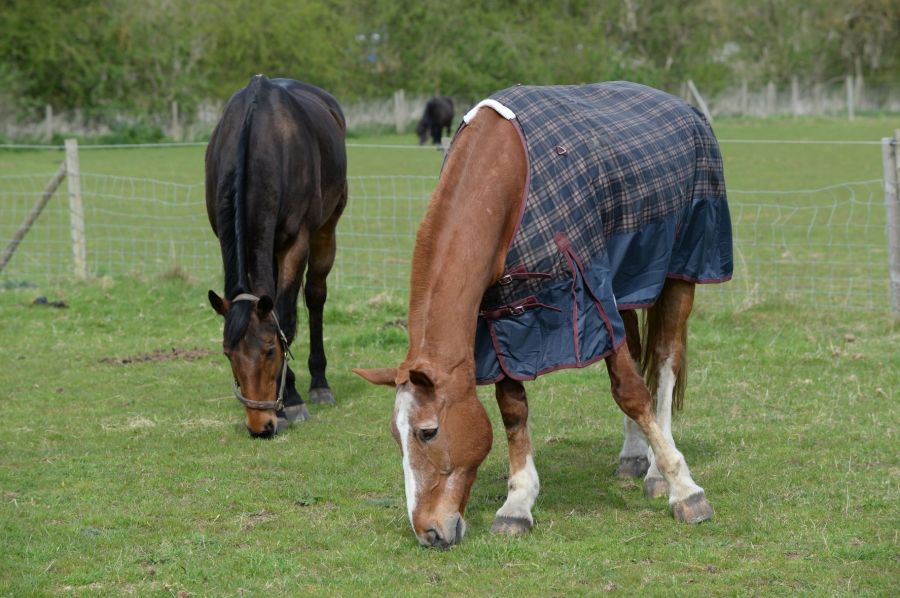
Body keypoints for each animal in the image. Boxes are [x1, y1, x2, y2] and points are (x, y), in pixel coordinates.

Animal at [206, 74, 347, 438]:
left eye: (271, 351)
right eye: (227, 354)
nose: (261, 426)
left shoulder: (296, 243)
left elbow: (284, 317)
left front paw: (293, 401)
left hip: (327, 227)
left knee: (315, 296)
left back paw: (319, 383)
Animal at [355, 82, 733, 547]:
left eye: (428, 432)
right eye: (396, 437)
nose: (429, 532)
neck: (508, 176)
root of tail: (688, 111)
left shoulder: (589, 293)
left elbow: (631, 390)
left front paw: (685, 489)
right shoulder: (502, 321)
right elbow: (512, 409)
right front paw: (517, 504)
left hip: (682, 270)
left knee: (664, 361)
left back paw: (658, 472)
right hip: (624, 285)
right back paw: (632, 455)